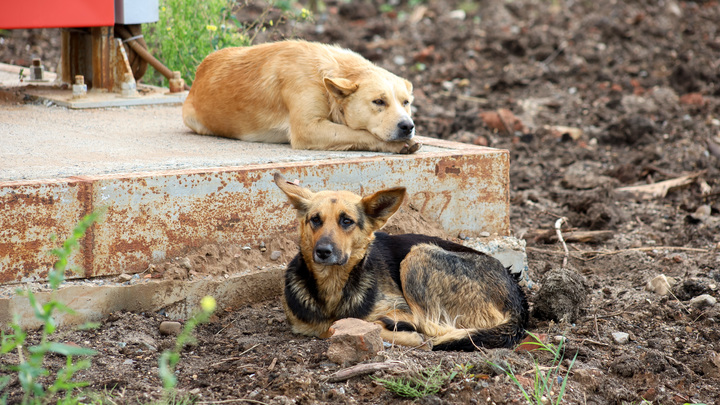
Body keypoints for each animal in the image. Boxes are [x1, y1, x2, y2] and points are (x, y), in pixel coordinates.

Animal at [181, 39, 422, 153]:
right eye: (378, 102)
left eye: (406, 102)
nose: (407, 126)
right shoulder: (308, 129)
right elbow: (361, 134)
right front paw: (396, 146)